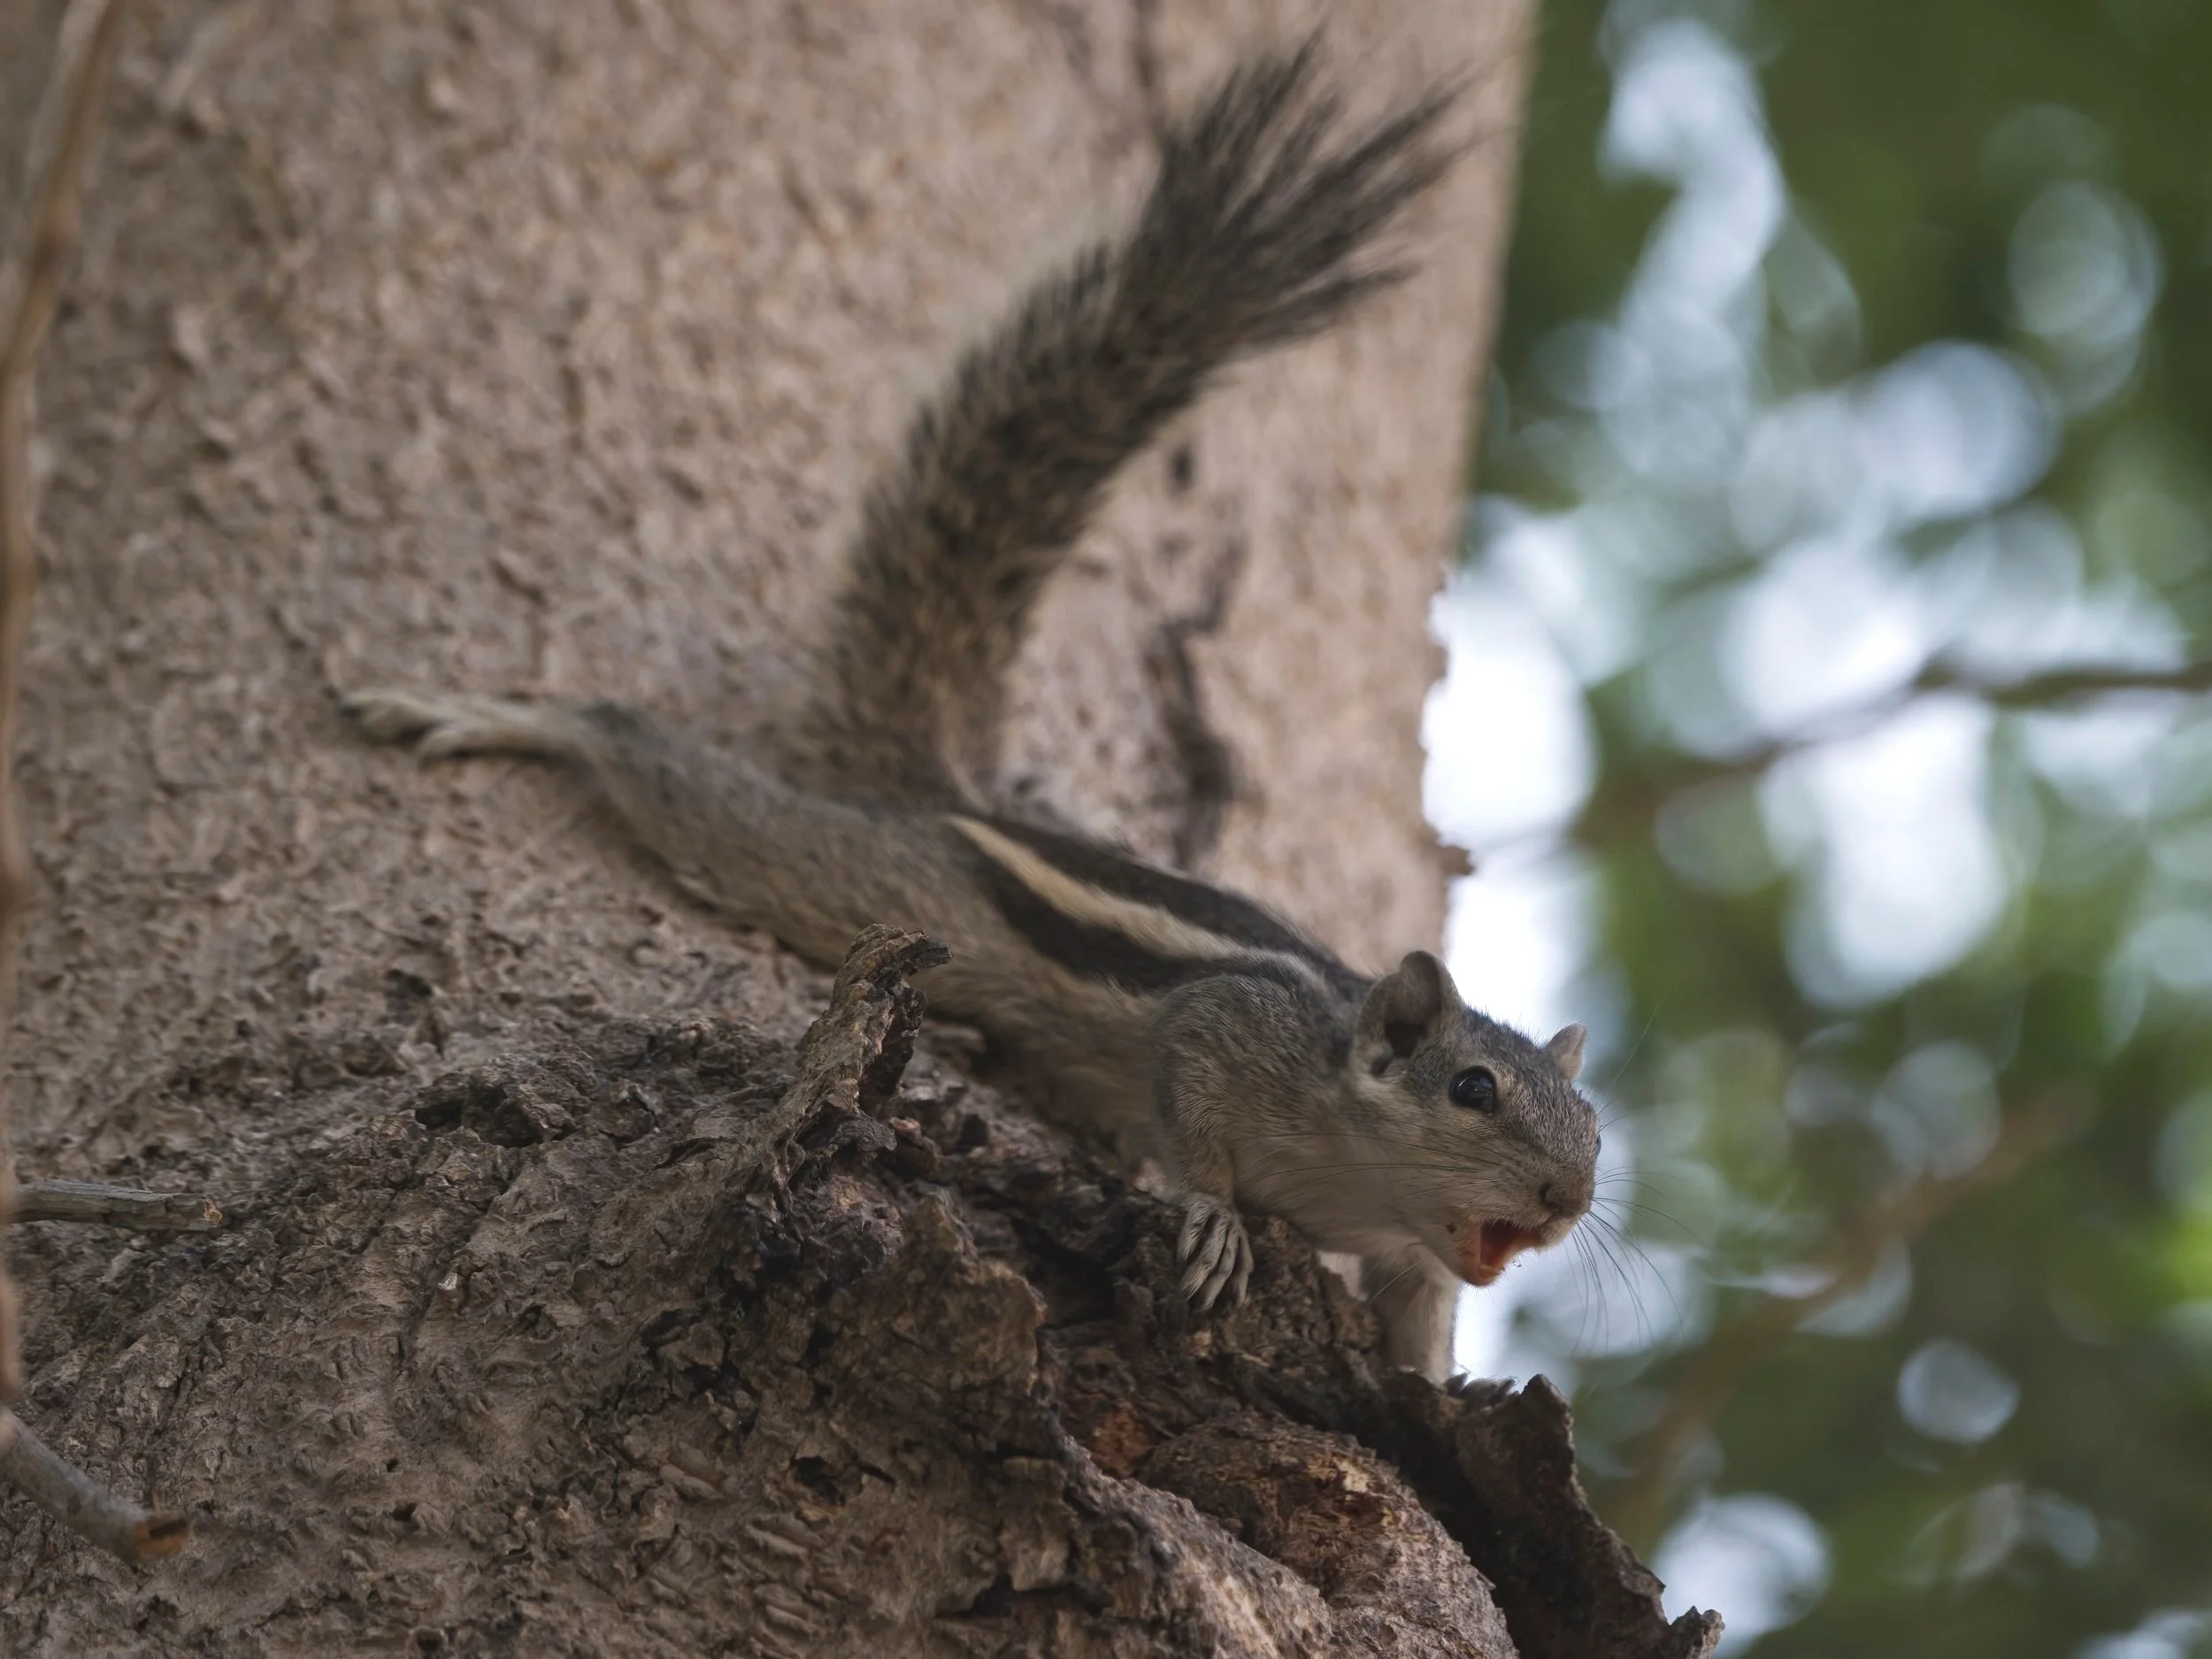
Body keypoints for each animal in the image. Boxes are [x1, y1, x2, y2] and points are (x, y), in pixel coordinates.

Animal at [339, 40, 1599, 1386]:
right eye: (1472, 1089)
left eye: (1593, 1126)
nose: (1567, 1200)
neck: (1357, 1154)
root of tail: (951, 803)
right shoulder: (1230, 1035)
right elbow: (1195, 1109)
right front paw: (1213, 1216)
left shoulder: (1416, 1251)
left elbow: (1421, 1312)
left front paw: (1442, 1387)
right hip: (885, 887)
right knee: (675, 773)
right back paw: (523, 719)